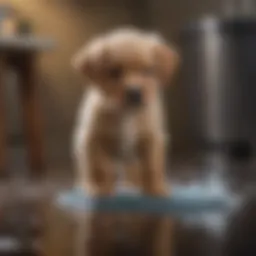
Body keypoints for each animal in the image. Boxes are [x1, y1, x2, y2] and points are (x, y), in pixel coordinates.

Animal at [72, 28, 180, 196]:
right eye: (114, 72)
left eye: (148, 70)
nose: (134, 93)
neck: (127, 113)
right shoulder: (94, 139)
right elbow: (98, 167)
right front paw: (99, 188)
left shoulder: (152, 138)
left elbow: (152, 166)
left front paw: (156, 188)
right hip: (81, 146)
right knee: (88, 169)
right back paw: (87, 186)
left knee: (133, 171)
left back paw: (132, 186)